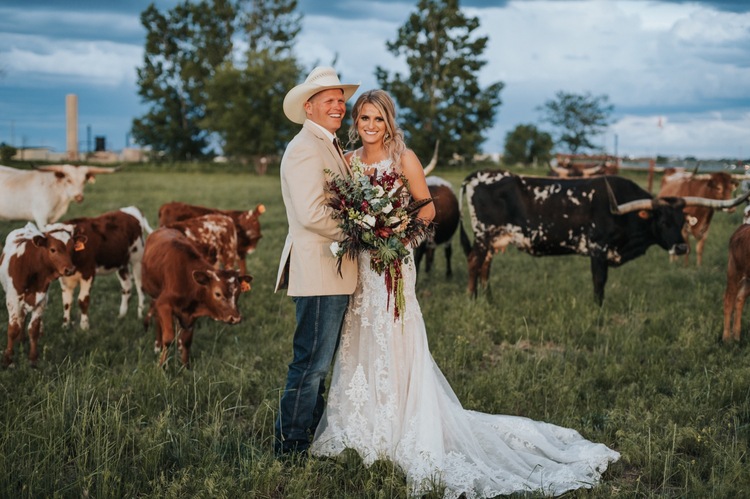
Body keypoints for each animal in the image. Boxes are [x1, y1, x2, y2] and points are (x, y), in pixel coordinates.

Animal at [0, 223, 86, 368]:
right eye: (53, 249)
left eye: (72, 249)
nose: (70, 270)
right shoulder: (13, 300)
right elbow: (13, 329)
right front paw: (8, 360)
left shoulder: (41, 300)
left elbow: (34, 329)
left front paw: (33, 359)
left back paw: (22, 338)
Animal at [142, 228, 254, 368]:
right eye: (217, 293)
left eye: (238, 292)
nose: (235, 318)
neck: (188, 280)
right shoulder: (163, 304)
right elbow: (168, 339)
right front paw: (162, 366)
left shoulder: (192, 313)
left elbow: (187, 341)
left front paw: (185, 367)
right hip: (154, 295)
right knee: (157, 318)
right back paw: (158, 345)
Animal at [462, 171, 748, 304]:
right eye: (663, 221)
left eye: (681, 222)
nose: (680, 247)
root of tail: (477, 175)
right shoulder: (598, 249)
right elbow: (599, 282)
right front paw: (597, 308)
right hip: (483, 236)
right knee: (475, 263)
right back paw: (472, 298)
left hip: (494, 239)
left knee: (486, 265)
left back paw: (488, 297)